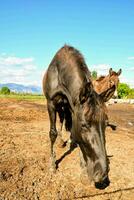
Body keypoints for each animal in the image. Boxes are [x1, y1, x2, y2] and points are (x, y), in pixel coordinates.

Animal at [43, 45, 111, 189]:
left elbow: (73, 131)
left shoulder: (72, 106)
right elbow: (52, 133)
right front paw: (52, 164)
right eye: (84, 125)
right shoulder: (51, 103)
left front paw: (83, 165)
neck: (60, 75)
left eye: (106, 124)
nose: (102, 173)